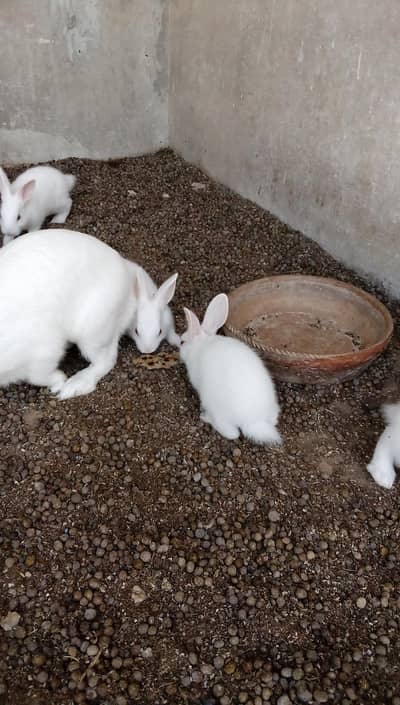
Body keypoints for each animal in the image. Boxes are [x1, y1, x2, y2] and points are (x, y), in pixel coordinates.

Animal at [0, 229, 179, 400]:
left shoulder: (43, 350)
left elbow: (39, 375)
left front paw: (60, 382)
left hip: (93, 331)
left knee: (106, 360)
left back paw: (74, 386)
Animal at [180, 293, 281, 444]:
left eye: (182, 342)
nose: (179, 352)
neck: (202, 343)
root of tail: (254, 421)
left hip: (216, 409)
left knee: (232, 434)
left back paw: (206, 418)